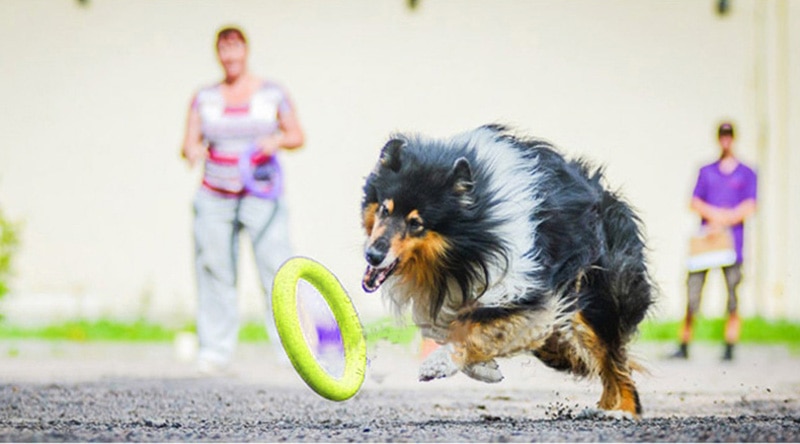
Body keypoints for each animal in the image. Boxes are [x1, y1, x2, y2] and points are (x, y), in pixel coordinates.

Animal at [362, 124, 656, 416]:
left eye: (416, 223)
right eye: (384, 210)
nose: (372, 255)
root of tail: (614, 200)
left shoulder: (524, 287)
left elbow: (478, 325)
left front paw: (440, 363)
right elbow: (453, 327)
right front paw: (484, 368)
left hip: (596, 300)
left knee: (615, 361)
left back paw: (622, 411)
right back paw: (603, 407)